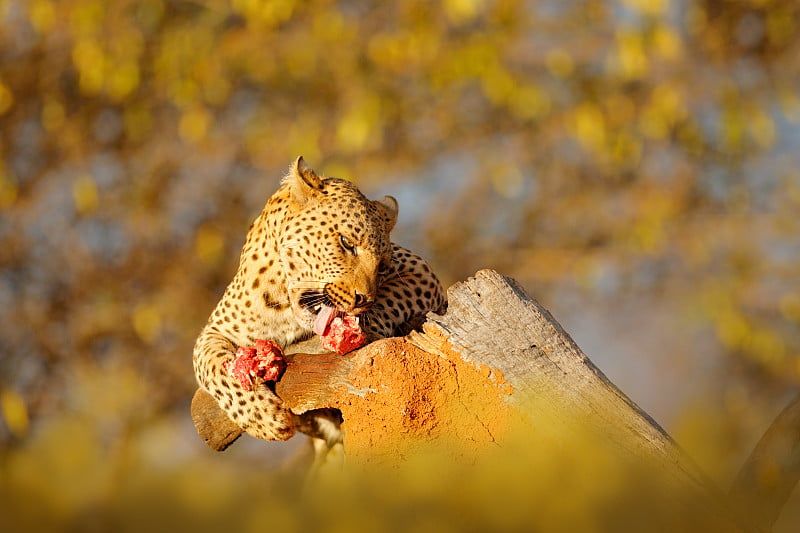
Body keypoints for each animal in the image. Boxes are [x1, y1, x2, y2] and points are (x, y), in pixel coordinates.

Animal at [191, 157, 446, 444]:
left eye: (382, 266)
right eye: (346, 243)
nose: (362, 299)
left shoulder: (420, 271)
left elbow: (390, 298)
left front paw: (363, 328)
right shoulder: (214, 330)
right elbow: (214, 366)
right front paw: (263, 418)